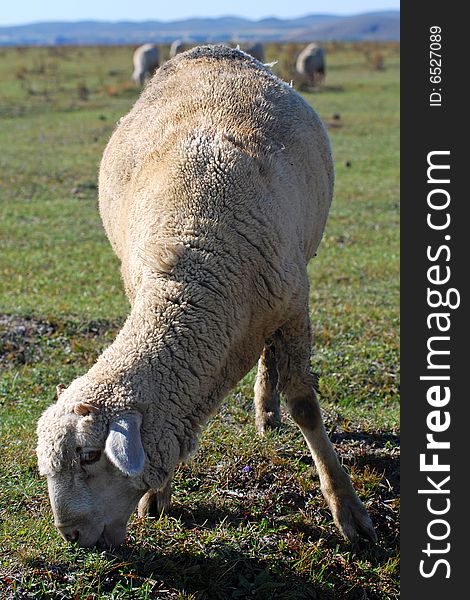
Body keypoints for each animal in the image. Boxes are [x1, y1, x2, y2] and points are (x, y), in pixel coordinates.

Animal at [35, 44, 374, 548]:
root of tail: (211, 50)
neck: (194, 266)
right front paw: (157, 495)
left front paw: (347, 507)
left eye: (91, 456)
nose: (72, 535)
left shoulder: (293, 305)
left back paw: (268, 409)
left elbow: (306, 407)